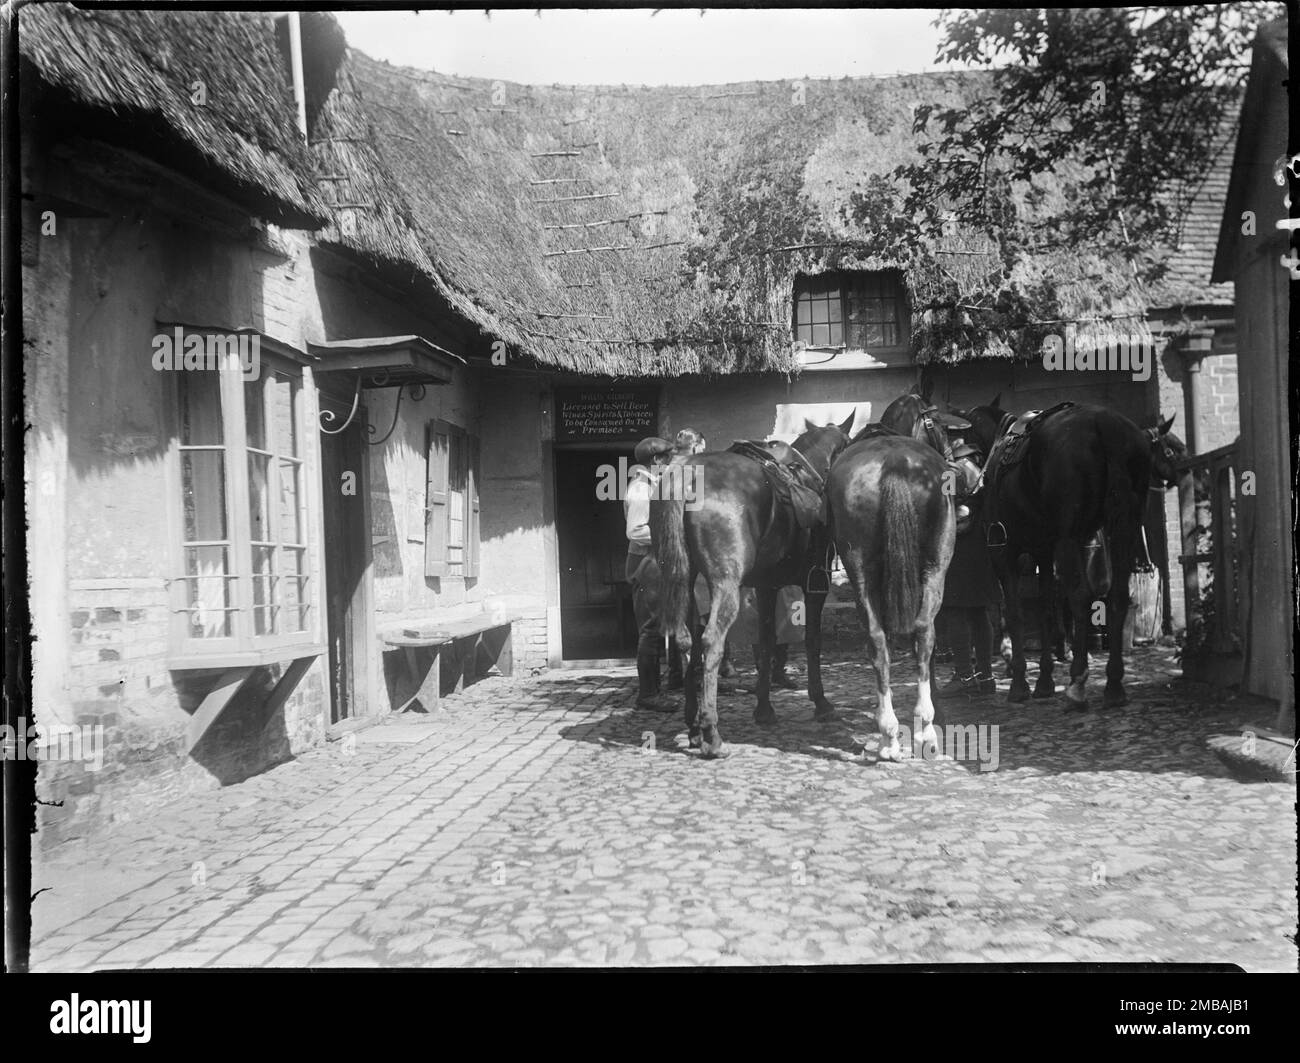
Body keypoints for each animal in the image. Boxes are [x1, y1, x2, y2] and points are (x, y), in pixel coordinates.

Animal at [650, 413, 852, 753]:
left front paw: (764, 709)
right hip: (725, 585)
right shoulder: (816, 585)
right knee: (710, 642)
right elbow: (812, 641)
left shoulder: (766, 587)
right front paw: (821, 701)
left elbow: (767, 641)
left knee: (686, 640)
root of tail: (685, 476)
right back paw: (710, 731)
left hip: (682, 582)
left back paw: (693, 725)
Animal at [826, 392, 961, 764]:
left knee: (885, 638)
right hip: (935, 564)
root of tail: (896, 463)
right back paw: (916, 729)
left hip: (862, 565)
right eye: (939, 426)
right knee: (922, 633)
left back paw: (896, 732)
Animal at [961, 402, 1190, 706]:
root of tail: (1104, 424)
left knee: (1081, 598)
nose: (1190, 475)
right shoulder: (1043, 554)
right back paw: (1112, 684)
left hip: (1069, 541)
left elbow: (1016, 613)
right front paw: (1043, 680)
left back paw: (1078, 683)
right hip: (1121, 531)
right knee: (1116, 596)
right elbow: (1045, 610)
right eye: (1170, 449)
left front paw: (1020, 681)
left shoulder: (1006, 555)